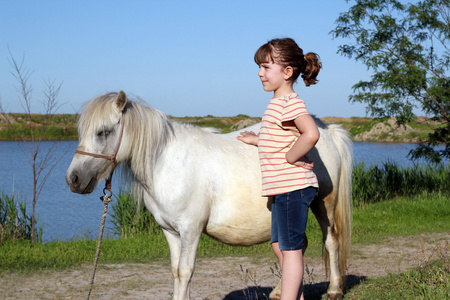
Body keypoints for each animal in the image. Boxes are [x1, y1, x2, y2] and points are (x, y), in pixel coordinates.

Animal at [66, 91, 352, 300]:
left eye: (103, 131)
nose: (73, 179)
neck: (167, 163)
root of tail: (326, 130)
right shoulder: (170, 231)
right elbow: (176, 271)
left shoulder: (191, 229)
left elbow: (185, 271)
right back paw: (279, 291)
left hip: (322, 204)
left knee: (330, 241)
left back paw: (334, 290)